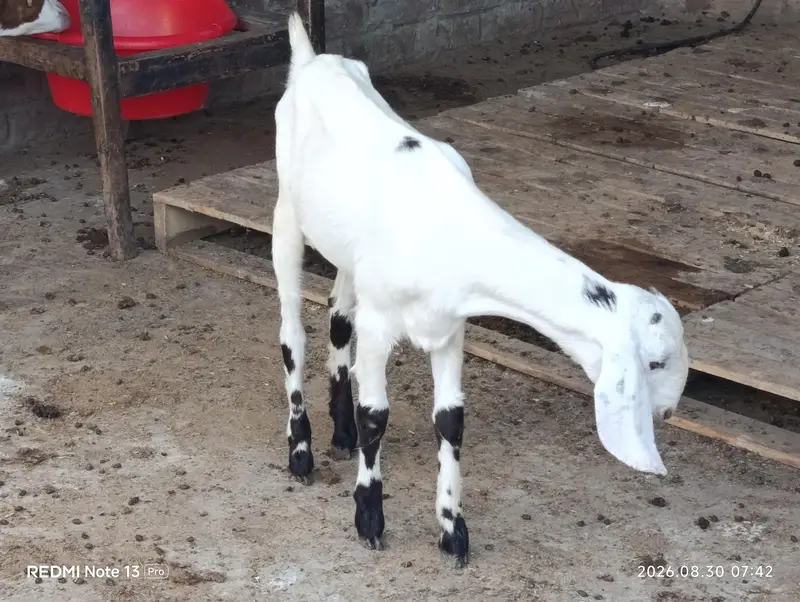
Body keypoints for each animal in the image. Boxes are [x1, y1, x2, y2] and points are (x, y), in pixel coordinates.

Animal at [272, 12, 689, 567]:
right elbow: (376, 415)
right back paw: (301, 450)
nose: (667, 412)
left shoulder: (449, 327)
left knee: (338, 319)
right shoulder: (381, 323)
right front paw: (369, 518)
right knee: (292, 333)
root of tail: (310, 60)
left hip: (344, 249)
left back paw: (340, 434)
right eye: (656, 363)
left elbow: (450, 420)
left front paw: (453, 531)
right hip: (286, 214)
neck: (452, 229)